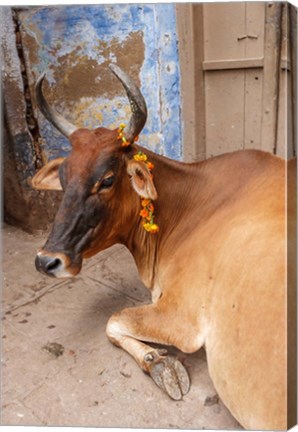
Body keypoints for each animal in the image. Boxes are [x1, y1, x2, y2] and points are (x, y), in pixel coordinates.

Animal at [31, 64, 292, 428]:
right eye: (64, 177)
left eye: (107, 180)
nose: (47, 261)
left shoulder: (181, 317)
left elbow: (113, 320)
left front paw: (159, 363)